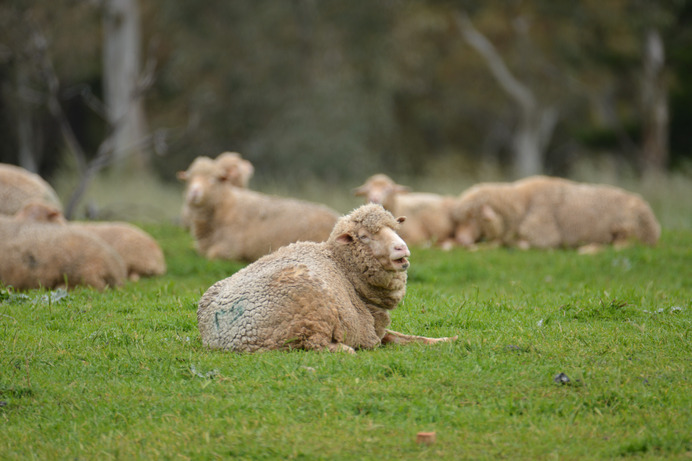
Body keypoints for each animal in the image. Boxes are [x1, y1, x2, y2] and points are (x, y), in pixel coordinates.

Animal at [197, 202, 456, 352]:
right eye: (364, 236)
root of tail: (225, 337)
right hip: (309, 320)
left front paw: (450, 340)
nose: (401, 248)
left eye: (395, 229)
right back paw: (346, 350)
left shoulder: (377, 329)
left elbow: (409, 338)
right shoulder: (366, 328)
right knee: (317, 347)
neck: (342, 268)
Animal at [454, 174, 660, 250]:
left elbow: (519, 243)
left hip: (630, 227)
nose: (460, 239)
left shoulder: (544, 237)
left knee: (624, 245)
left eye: (473, 217)